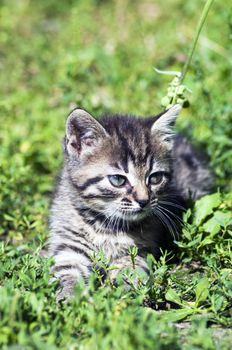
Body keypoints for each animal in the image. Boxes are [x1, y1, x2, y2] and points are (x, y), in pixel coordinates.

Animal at [48, 104, 213, 298]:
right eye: (118, 180)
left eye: (155, 178)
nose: (144, 201)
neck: (105, 225)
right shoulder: (69, 245)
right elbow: (67, 270)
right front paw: (71, 295)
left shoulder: (142, 249)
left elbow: (132, 266)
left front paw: (122, 291)